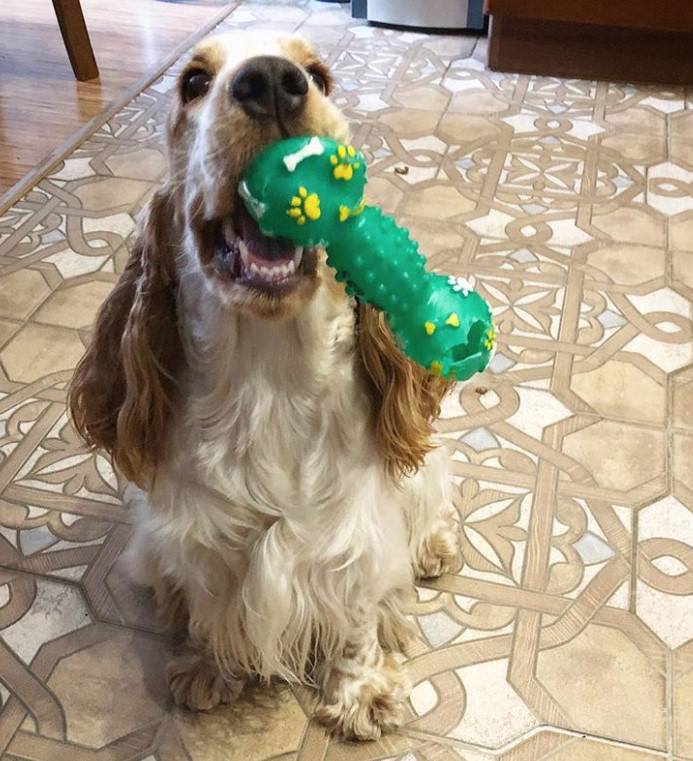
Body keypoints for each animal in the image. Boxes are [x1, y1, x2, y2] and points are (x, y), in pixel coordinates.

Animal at [69, 32, 460, 740]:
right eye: (194, 83)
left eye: (319, 76)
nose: (273, 83)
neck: (268, 382)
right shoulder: (200, 543)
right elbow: (206, 604)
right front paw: (208, 667)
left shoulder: (351, 541)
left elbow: (357, 619)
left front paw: (361, 694)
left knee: (434, 499)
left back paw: (434, 551)